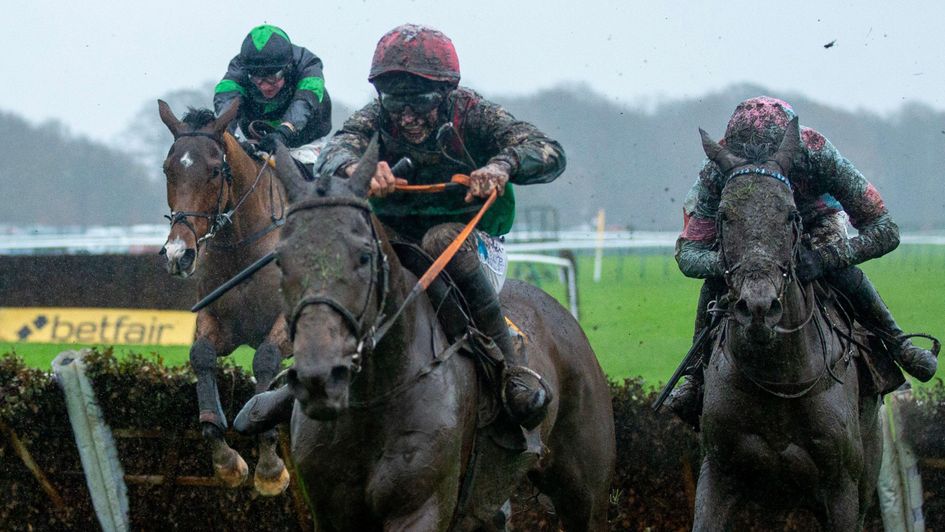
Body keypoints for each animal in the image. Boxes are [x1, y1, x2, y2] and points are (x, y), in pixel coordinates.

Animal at [157, 101, 290, 494]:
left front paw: (270, 467)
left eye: (215, 171)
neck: (243, 247)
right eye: (168, 169)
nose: (178, 253)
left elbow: (265, 358)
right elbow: (200, 355)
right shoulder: (218, 322)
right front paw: (225, 458)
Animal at [270, 139, 616, 528]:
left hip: (585, 493)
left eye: (363, 256)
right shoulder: (331, 514)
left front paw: (491, 174)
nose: (319, 378)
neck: (372, 397)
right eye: (280, 259)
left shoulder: (421, 507)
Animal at [692, 117, 884, 532]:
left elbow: (882, 226)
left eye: (790, 214)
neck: (778, 381)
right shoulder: (718, 472)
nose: (759, 307)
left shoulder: (842, 489)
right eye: (724, 215)